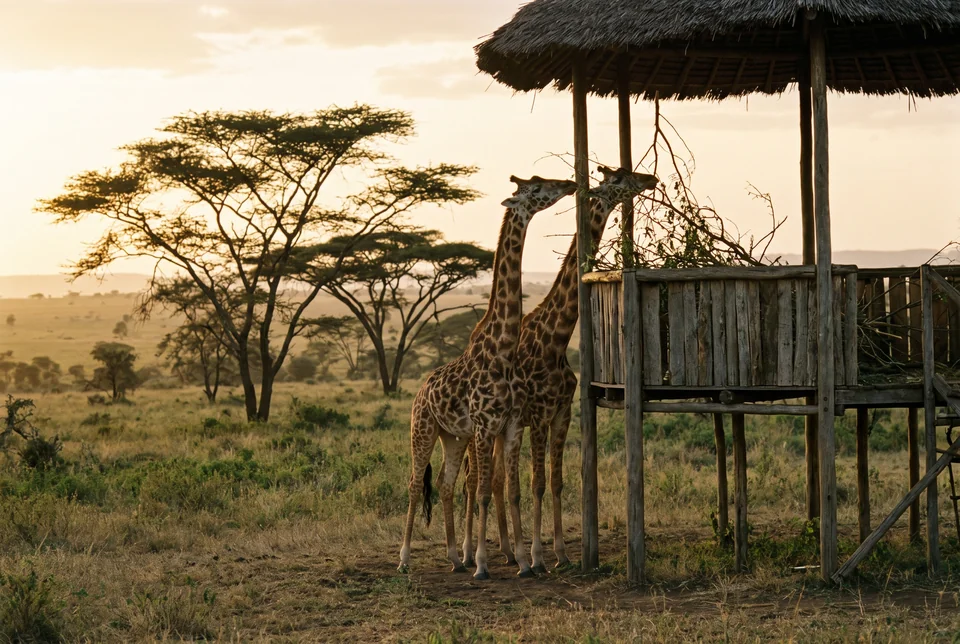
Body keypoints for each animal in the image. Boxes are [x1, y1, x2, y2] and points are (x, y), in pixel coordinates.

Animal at [398, 175, 577, 580]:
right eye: (537, 187)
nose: (570, 183)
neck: (503, 349)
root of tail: (419, 392)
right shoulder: (485, 426)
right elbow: (482, 491)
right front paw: (482, 563)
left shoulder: (509, 425)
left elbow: (511, 489)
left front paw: (525, 562)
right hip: (423, 430)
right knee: (416, 484)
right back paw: (406, 559)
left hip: (452, 436)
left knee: (445, 483)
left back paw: (453, 557)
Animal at [462, 166, 659, 573]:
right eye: (620, 178)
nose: (651, 179)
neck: (556, 337)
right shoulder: (538, 414)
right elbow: (536, 483)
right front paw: (538, 557)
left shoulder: (561, 412)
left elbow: (556, 482)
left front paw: (562, 555)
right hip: (483, 427)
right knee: (476, 481)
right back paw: (478, 554)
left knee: (497, 480)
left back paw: (506, 551)